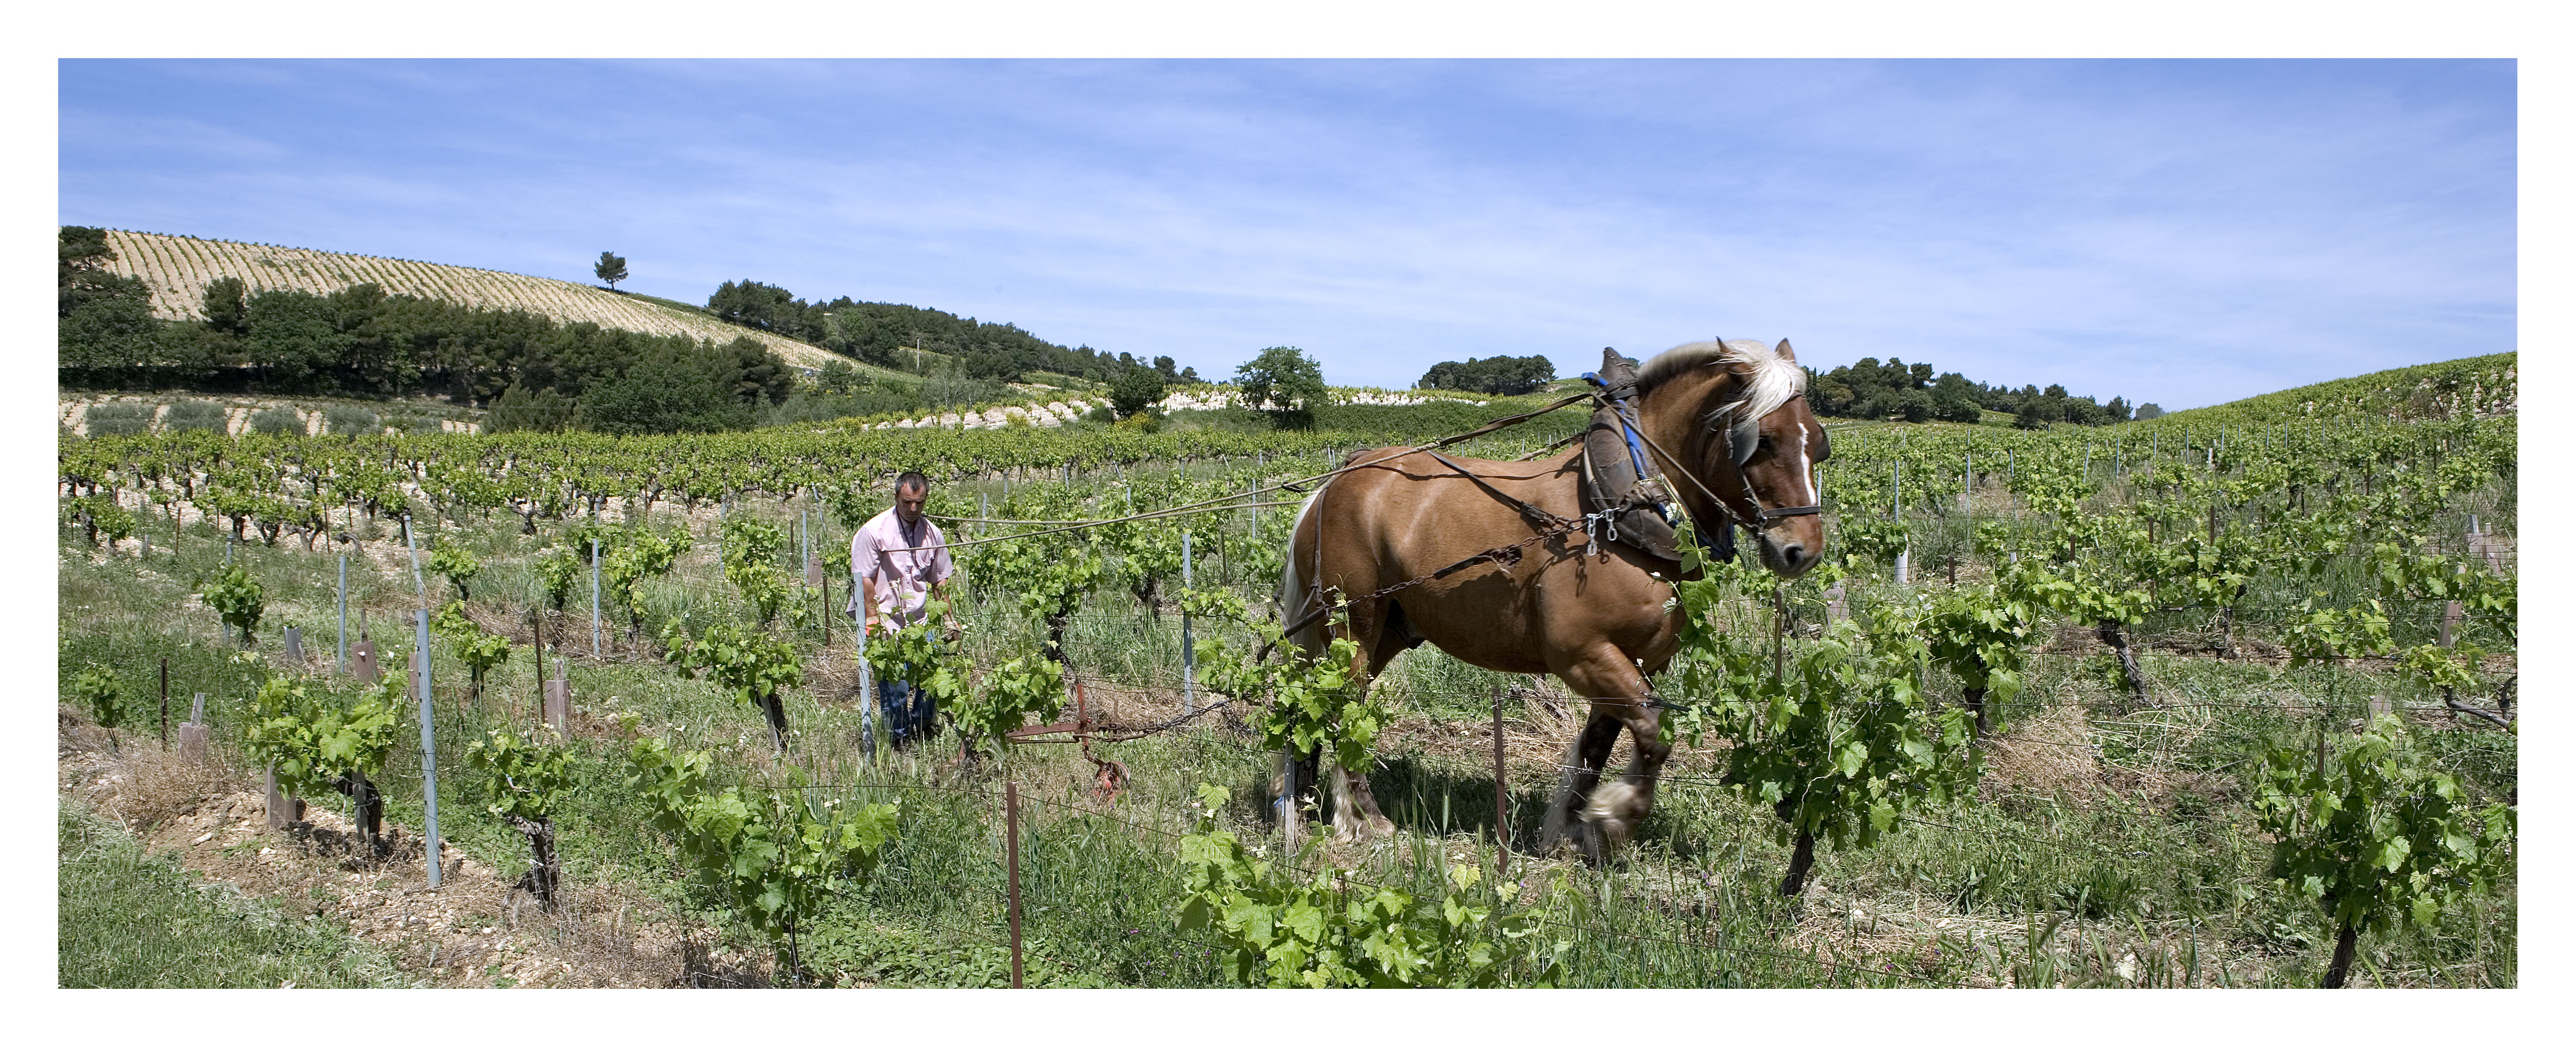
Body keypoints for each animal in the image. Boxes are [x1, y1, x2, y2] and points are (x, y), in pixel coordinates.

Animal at [1277, 337, 1824, 859]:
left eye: (1818, 443)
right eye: (1763, 440)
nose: (1802, 550)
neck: (1622, 509)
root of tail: (1337, 480)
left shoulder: (1640, 660)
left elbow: (1599, 746)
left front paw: (1572, 831)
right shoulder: (1582, 652)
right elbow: (1653, 731)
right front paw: (1614, 818)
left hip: (1386, 628)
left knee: (1325, 706)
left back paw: (1313, 807)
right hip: (1353, 622)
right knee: (1341, 709)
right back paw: (1369, 820)